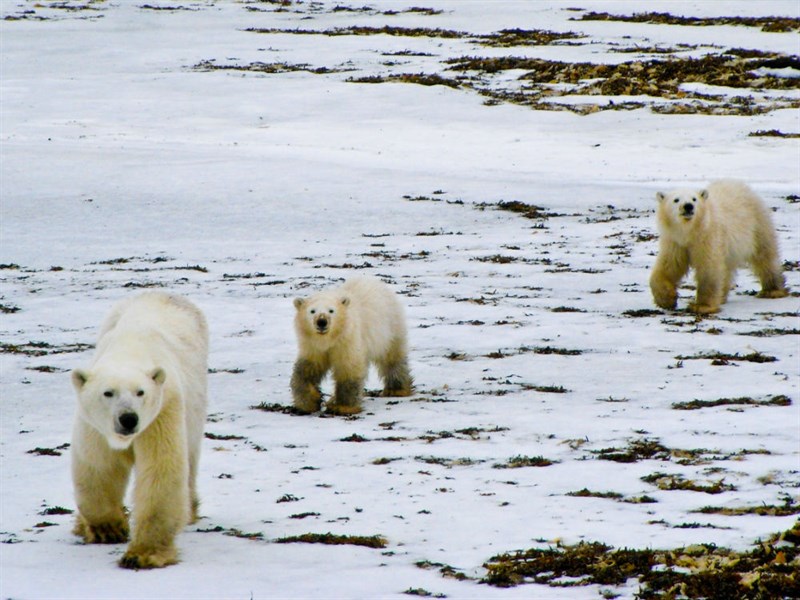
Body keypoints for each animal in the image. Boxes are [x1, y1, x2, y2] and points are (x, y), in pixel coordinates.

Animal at [70, 292, 208, 569]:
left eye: (140, 392)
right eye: (108, 392)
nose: (128, 419)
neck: (130, 349)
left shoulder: (162, 410)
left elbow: (160, 470)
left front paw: (142, 554)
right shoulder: (95, 425)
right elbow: (98, 465)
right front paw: (109, 528)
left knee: (189, 456)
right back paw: (81, 526)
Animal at [291, 275, 413, 415]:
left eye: (331, 310)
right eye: (312, 311)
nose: (322, 322)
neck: (330, 339)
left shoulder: (348, 340)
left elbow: (348, 370)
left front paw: (342, 407)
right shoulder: (312, 346)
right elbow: (307, 368)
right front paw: (308, 402)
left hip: (390, 328)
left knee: (392, 358)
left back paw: (397, 389)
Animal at [650, 179, 788, 314]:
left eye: (694, 199)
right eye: (676, 199)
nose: (688, 206)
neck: (691, 232)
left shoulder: (708, 237)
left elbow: (708, 269)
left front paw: (702, 306)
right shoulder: (675, 242)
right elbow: (669, 266)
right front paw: (667, 300)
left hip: (757, 225)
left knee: (764, 256)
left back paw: (772, 290)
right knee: (727, 269)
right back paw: (722, 296)